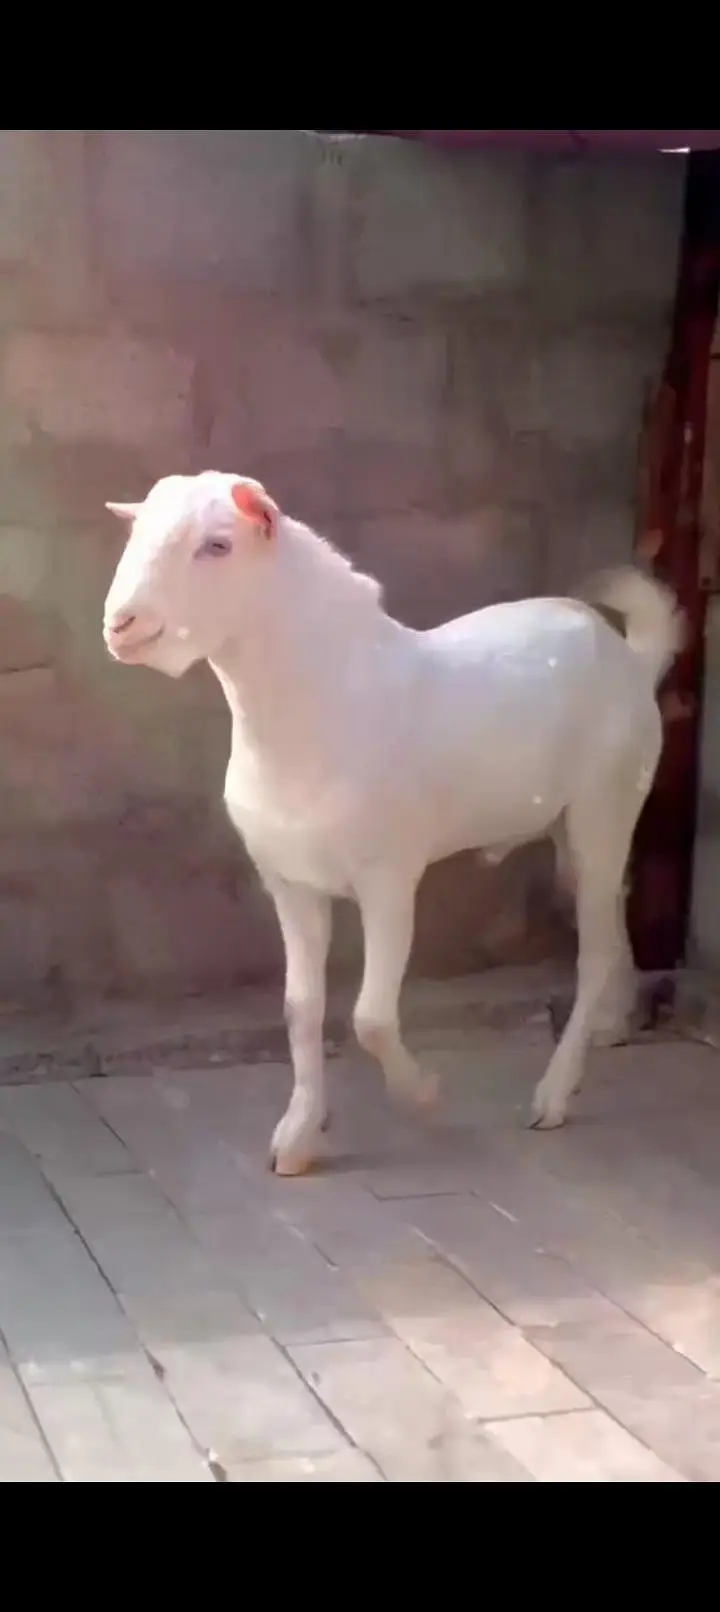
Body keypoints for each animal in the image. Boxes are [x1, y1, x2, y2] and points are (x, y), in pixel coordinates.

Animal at [103, 472, 682, 1176]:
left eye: (217, 544)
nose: (122, 624)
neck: (322, 705)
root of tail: (631, 660)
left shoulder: (389, 879)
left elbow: (371, 1018)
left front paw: (425, 1094)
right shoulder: (290, 884)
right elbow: (300, 1010)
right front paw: (299, 1136)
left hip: (606, 801)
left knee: (593, 950)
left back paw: (553, 1095)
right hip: (570, 826)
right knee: (609, 909)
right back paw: (610, 1025)